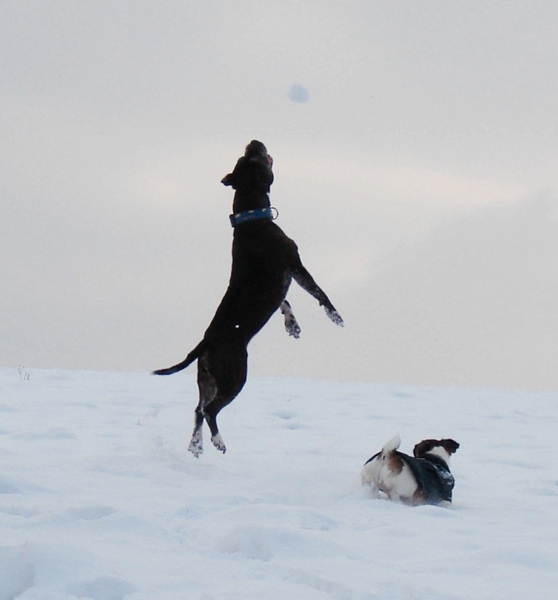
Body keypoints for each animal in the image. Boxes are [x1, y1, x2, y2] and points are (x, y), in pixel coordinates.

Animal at [154, 141, 346, 458]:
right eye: (254, 160)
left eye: (243, 158)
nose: (254, 142)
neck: (251, 217)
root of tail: (205, 342)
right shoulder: (294, 265)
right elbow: (318, 291)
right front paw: (335, 316)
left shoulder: (281, 283)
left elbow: (285, 303)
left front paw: (292, 326)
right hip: (234, 377)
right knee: (210, 410)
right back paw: (218, 441)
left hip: (207, 379)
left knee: (197, 408)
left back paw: (197, 445)